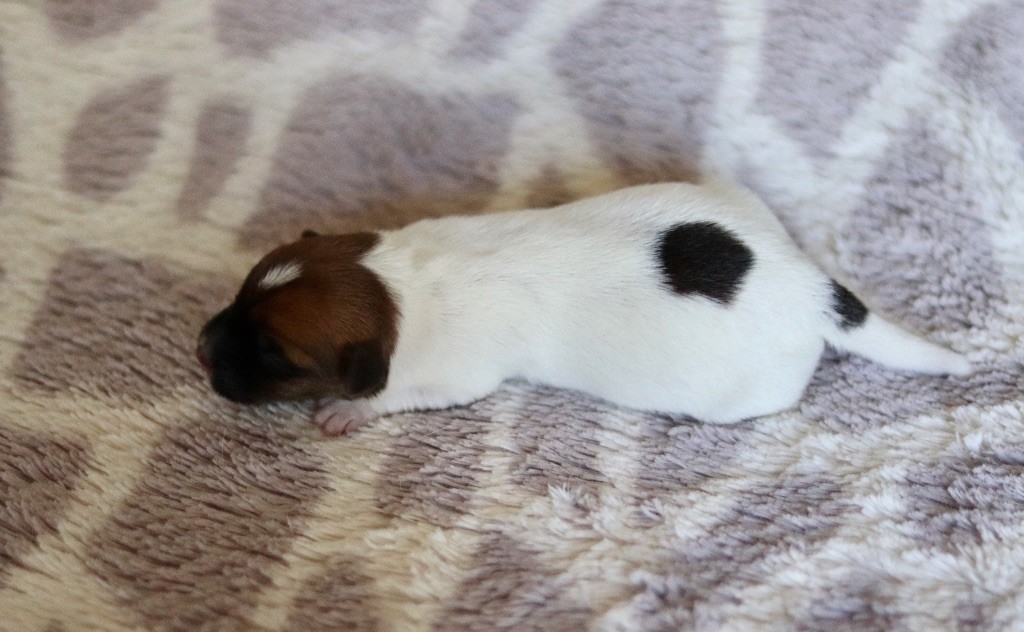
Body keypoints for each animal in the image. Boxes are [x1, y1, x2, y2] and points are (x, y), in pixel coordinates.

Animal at [197, 182, 971, 435]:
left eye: (273, 354)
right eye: (240, 295)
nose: (200, 348)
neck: (393, 283)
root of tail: (814, 289)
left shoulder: (454, 376)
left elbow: (397, 395)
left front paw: (346, 410)